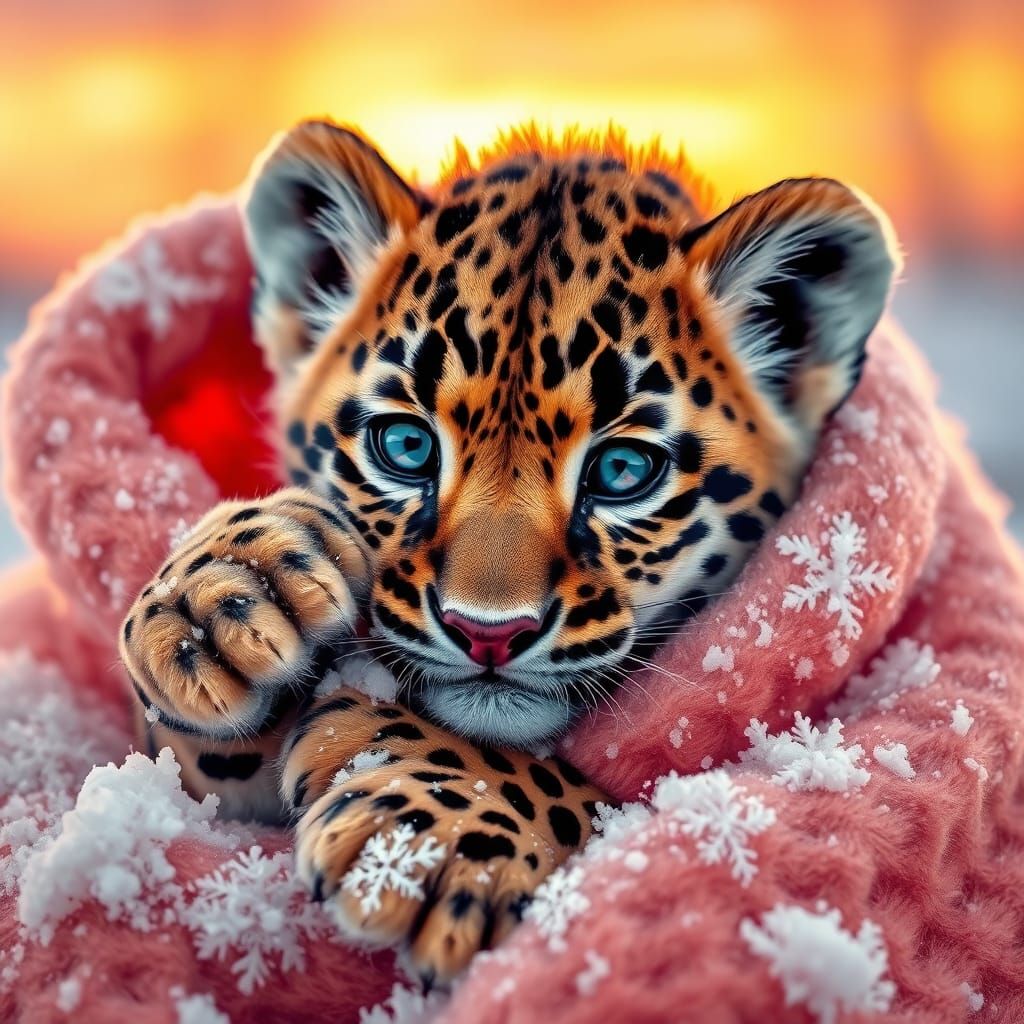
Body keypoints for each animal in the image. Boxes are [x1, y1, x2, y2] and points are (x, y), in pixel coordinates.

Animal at [119, 120, 897, 987]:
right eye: (406, 447)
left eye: (622, 470)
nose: (488, 633)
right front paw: (227, 597)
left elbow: (616, 810)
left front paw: (443, 832)